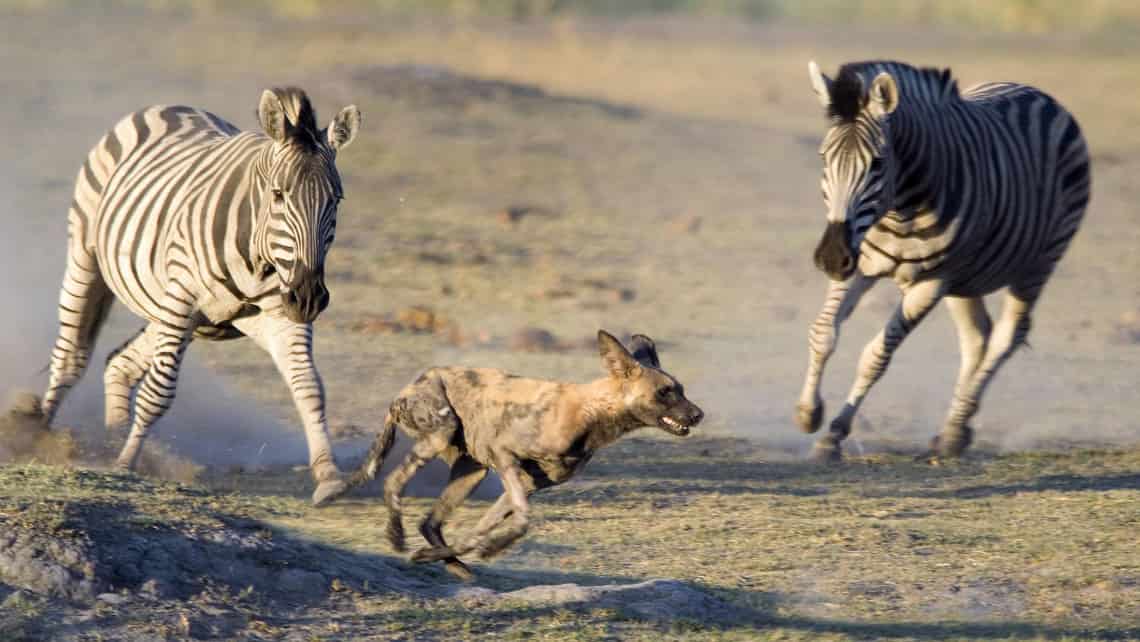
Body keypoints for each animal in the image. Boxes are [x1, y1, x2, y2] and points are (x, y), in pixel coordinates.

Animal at [41, 86, 360, 508]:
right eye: (278, 195)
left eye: (336, 200)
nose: (308, 298)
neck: (259, 258)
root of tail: (166, 106)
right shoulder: (184, 300)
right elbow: (158, 392)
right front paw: (126, 462)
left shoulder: (277, 311)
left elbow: (308, 387)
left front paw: (329, 476)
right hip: (88, 256)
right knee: (70, 356)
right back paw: (34, 433)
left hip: (178, 312)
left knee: (118, 361)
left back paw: (110, 441)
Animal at [330, 330, 697, 577]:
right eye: (665, 392)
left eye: (681, 390)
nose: (698, 414)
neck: (591, 415)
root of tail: (408, 386)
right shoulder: (505, 457)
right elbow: (523, 520)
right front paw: (493, 547)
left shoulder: (528, 483)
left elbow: (478, 532)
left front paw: (471, 549)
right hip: (439, 434)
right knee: (392, 482)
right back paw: (396, 537)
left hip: (471, 471)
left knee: (429, 522)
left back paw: (450, 562)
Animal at [798, 60, 1089, 460]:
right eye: (824, 157)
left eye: (877, 163)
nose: (830, 257)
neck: (900, 208)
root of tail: (1038, 94)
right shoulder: (860, 263)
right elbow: (823, 333)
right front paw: (809, 413)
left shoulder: (931, 282)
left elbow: (876, 356)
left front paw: (835, 432)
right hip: (966, 276)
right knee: (977, 336)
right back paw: (959, 428)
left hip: (1038, 263)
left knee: (1007, 335)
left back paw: (952, 431)